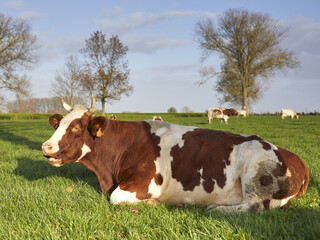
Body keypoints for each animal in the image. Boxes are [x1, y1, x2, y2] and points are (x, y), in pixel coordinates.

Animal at [41, 95, 308, 212]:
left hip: (254, 171)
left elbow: (115, 198)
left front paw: (152, 203)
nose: (46, 147)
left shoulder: (146, 183)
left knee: (252, 207)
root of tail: (298, 159)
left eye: (76, 127)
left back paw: (216, 209)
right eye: (58, 124)